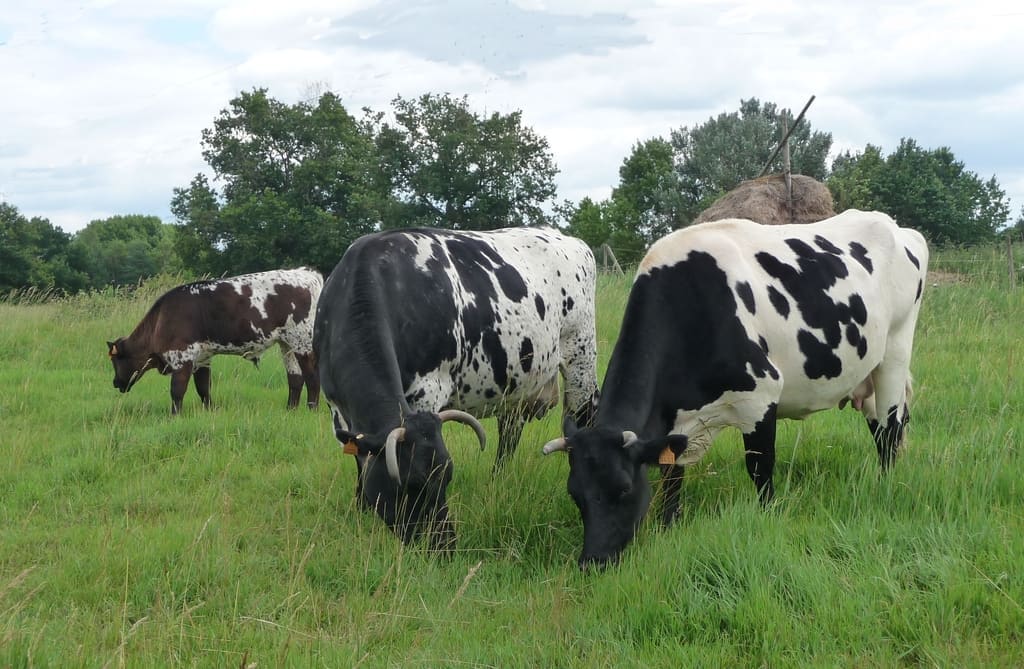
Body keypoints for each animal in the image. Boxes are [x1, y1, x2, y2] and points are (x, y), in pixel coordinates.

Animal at [107, 268, 323, 414]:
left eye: (116, 360)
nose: (115, 383)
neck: (162, 319)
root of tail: (305, 272)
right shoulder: (203, 358)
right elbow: (203, 388)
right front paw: (209, 411)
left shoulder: (182, 357)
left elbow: (177, 390)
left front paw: (174, 416)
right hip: (287, 344)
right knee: (295, 378)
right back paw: (290, 410)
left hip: (302, 342)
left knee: (313, 378)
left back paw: (311, 409)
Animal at [314, 226, 600, 551]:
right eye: (412, 483)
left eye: (447, 477)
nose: (445, 544)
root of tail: (564, 236)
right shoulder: (337, 409)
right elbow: (359, 460)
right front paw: (361, 506)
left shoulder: (427, 390)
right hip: (516, 386)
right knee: (509, 435)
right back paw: (497, 480)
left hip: (580, 359)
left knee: (583, 418)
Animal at [542, 210, 929, 569]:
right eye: (575, 493)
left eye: (623, 488)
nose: (592, 561)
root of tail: (897, 227)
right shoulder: (674, 421)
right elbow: (672, 479)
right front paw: (669, 526)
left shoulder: (761, 397)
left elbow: (760, 468)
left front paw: (768, 516)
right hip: (868, 372)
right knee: (879, 427)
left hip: (895, 351)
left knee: (891, 430)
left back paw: (885, 487)